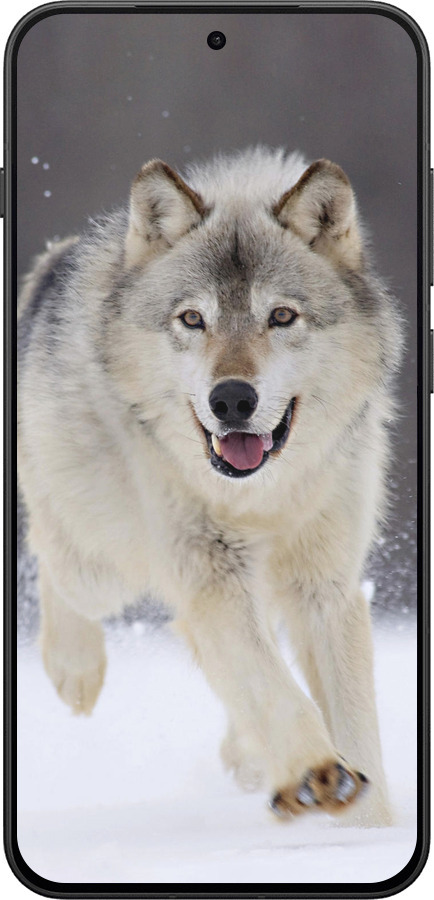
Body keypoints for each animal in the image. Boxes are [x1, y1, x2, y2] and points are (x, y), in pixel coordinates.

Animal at [17, 147, 402, 826]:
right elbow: (272, 686)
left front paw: (369, 827)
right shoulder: (210, 575)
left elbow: (353, 721)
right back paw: (75, 671)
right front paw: (316, 773)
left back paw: (247, 757)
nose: (232, 400)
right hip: (103, 565)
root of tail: (54, 261)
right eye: (193, 319)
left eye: (281, 316)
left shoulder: (325, 586)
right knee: (52, 556)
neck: (262, 497)